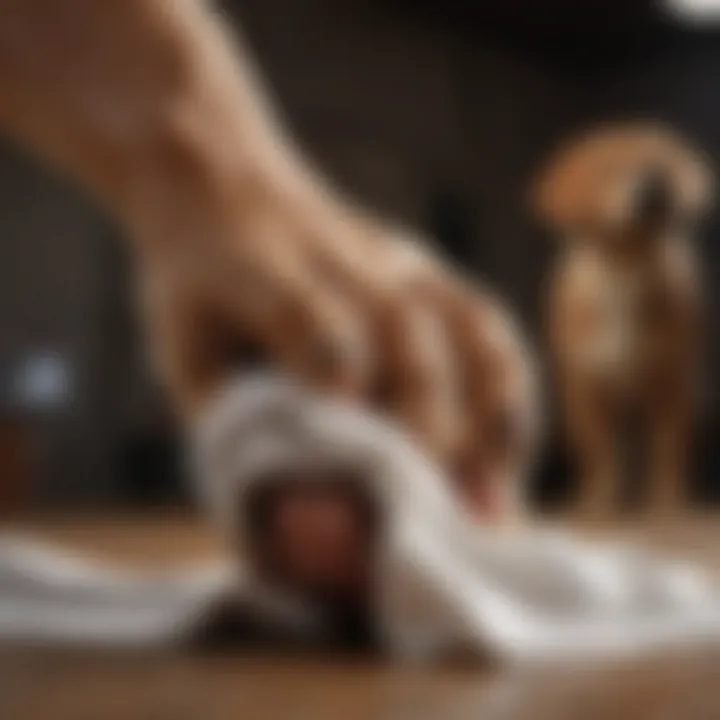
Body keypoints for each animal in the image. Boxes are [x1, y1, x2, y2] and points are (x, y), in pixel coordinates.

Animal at [536, 122, 708, 516]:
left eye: (660, 160)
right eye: (606, 169)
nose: (653, 182)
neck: (625, 267)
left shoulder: (672, 385)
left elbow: (668, 450)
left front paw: (668, 504)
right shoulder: (585, 387)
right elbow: (600, 453)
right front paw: (599, 502)